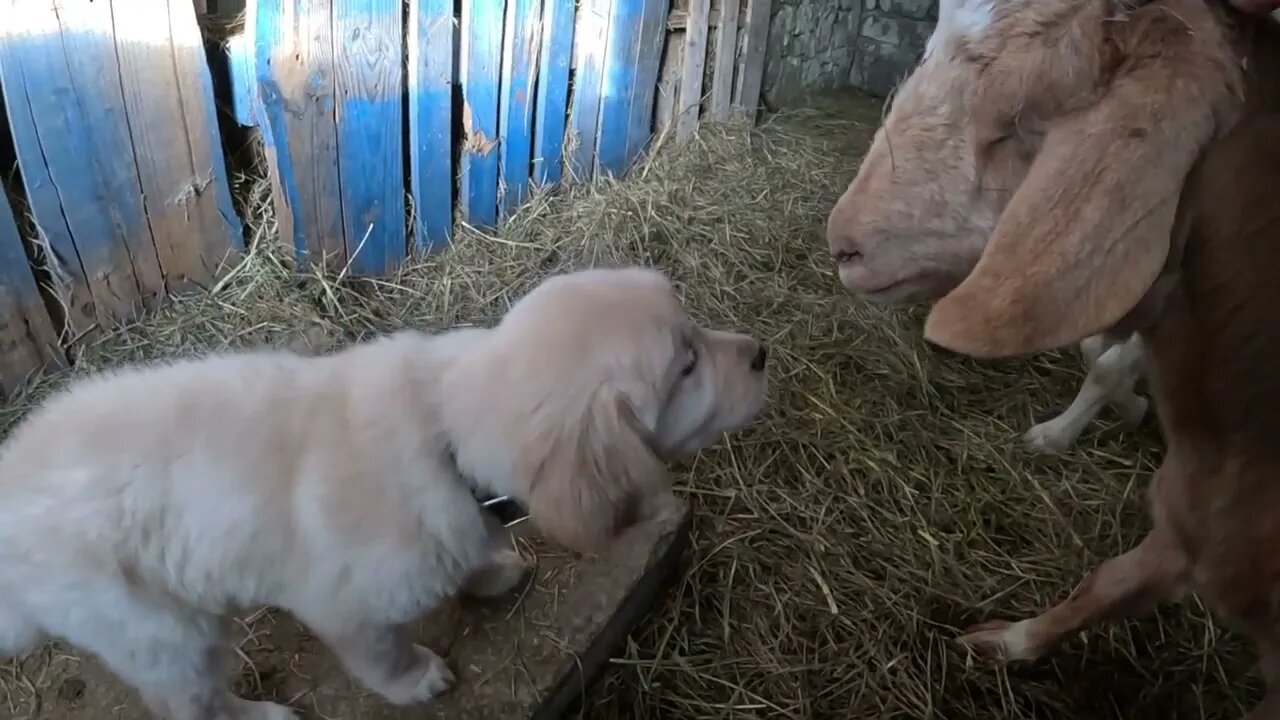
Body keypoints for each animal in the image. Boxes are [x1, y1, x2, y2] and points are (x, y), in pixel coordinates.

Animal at [0, 266, 762, 712]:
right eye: (687, 367)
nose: (761, 353)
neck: (445, 431)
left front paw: (490, 568)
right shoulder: (345, 607)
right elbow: (382, 654)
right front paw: (417, 679)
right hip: (167, 633)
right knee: (190, 705)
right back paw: (261, 713)